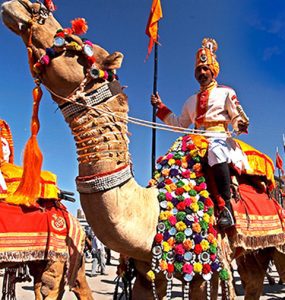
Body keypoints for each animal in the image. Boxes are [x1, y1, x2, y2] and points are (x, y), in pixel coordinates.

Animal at [1, 1, 284, 298]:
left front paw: (240, 122)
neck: (155, 207)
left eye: (72, 41)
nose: (31, 7)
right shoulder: (147, 269)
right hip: (253, 249)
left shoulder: (203, 263)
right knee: (253, 281)